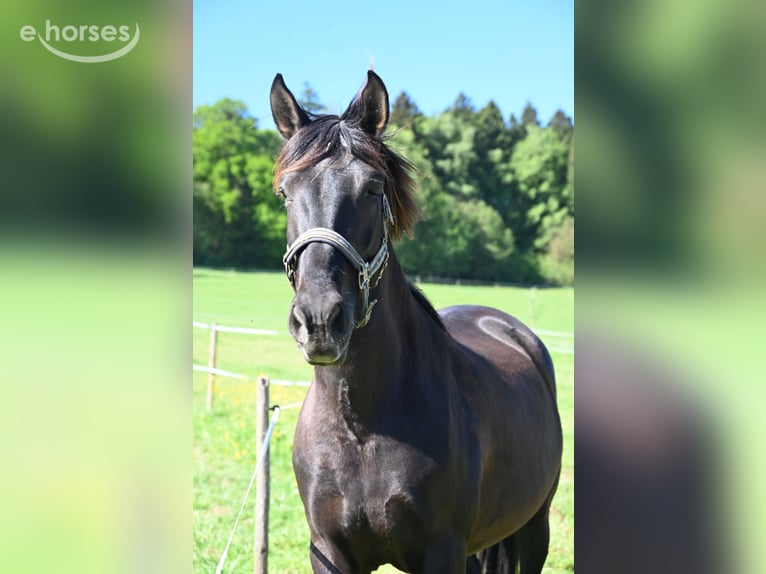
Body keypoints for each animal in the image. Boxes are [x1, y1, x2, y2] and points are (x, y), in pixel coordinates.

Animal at [270, 70, 562, 574]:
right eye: (286, 193)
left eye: (372, 189)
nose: (320, 319)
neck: (362, 428)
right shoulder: (328, 552)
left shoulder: (443, 552)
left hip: (533, 529)